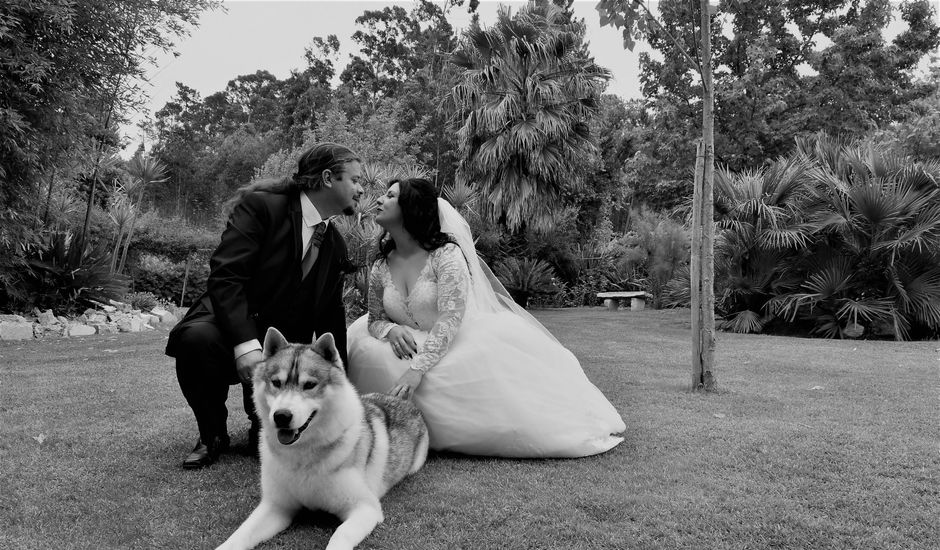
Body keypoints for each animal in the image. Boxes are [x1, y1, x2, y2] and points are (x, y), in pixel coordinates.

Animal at [215, 328, 428, 550]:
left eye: (309, 385)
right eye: (276, 383)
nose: (281, 416)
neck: (302, 453)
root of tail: (399, 399)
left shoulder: (365, 507)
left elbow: (341, 534)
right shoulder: (276, 506)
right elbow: (241, 534)